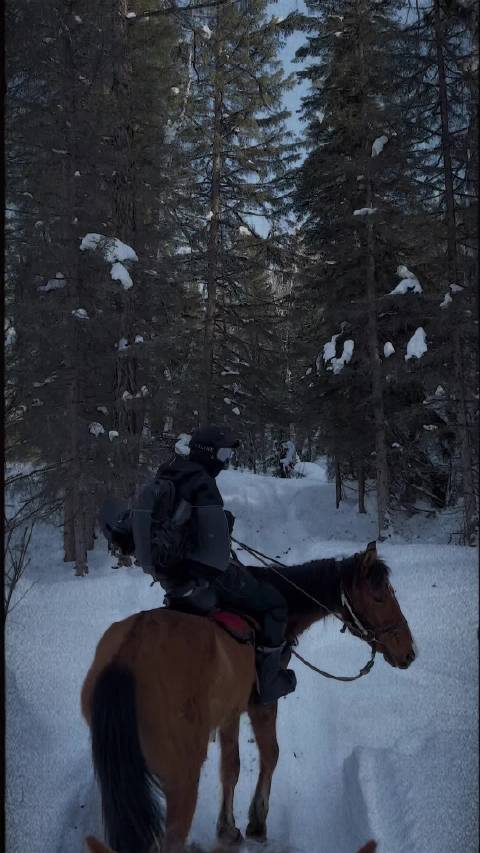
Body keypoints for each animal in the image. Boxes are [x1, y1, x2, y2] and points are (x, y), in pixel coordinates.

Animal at [80, 544, 414, 848]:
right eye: (379, 596)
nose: (408, 651)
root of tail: (128, 655)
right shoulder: (261, 703)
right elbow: (271, 753)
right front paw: (257, 821)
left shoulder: (229, 712)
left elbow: (231, 767)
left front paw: (227, 828)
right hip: (182, 777)